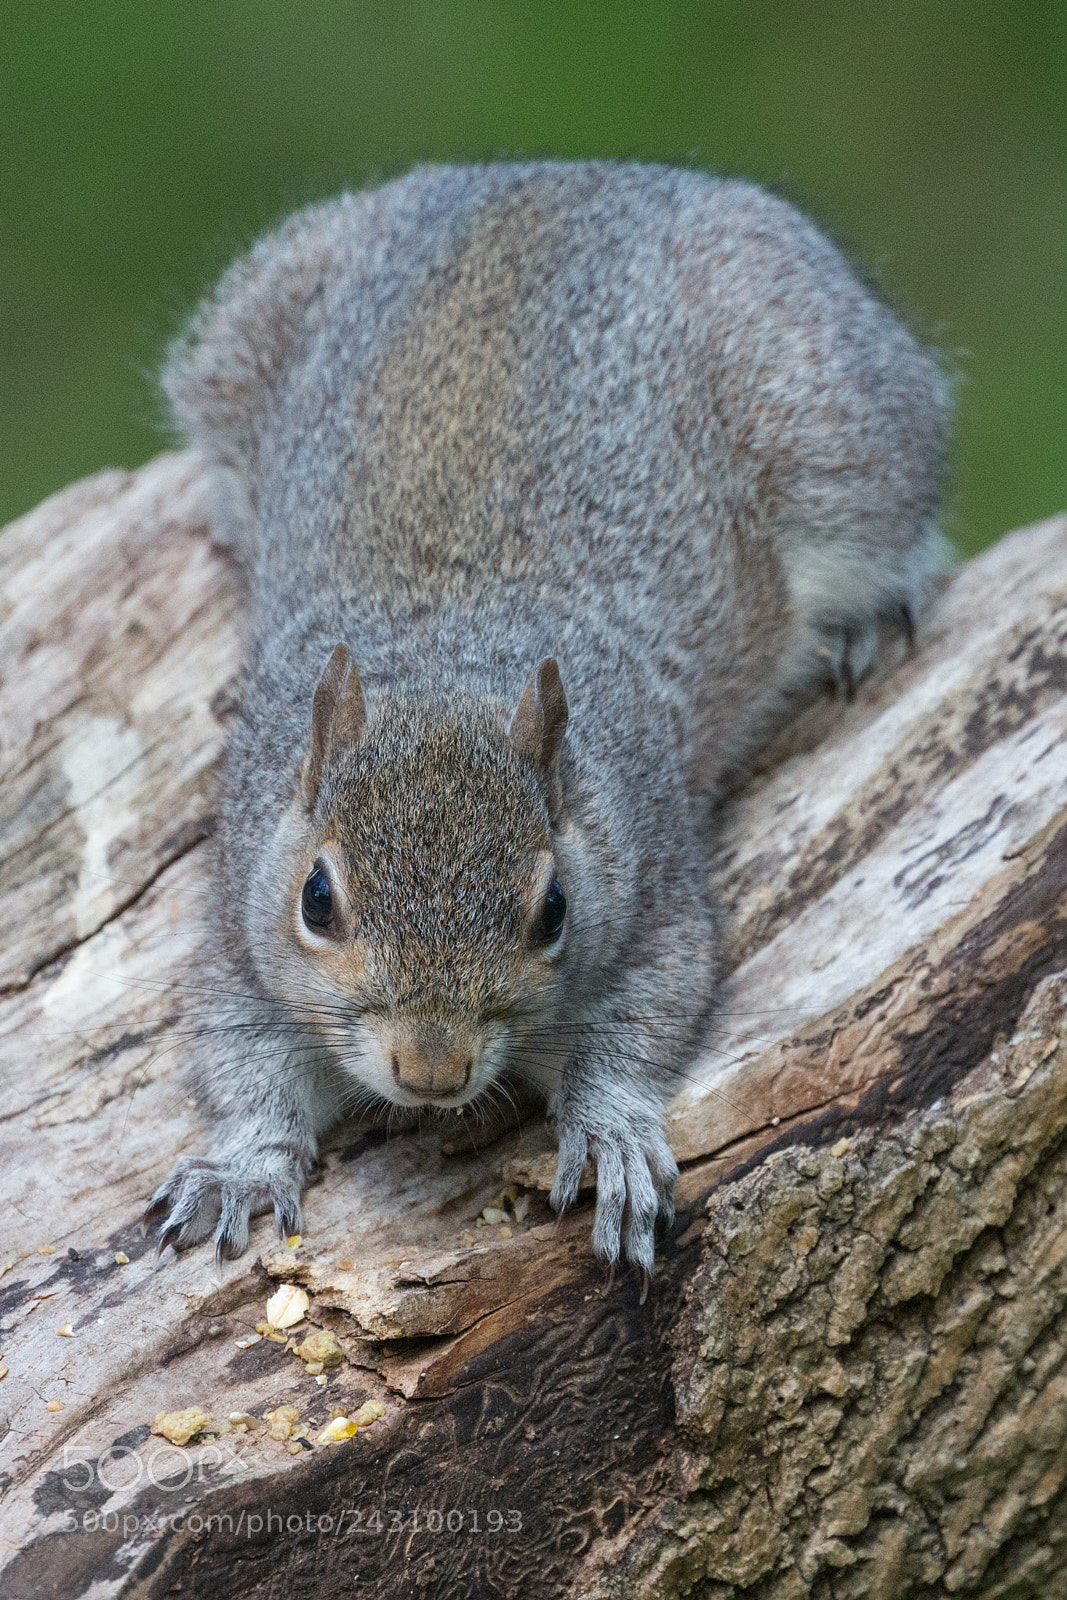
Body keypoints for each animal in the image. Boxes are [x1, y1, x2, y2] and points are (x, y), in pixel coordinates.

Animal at [146, 162, 948, 1285]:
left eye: (554, 909)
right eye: (316, 899)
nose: (429, 1068)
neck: (446, 658)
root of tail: (571, 170)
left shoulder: (655, 893)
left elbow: (644, 1019)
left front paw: (610, 1134)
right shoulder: (234, 923)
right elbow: (238, 1054)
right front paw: (241, 1162)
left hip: (836, 419)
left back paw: (874, 614)